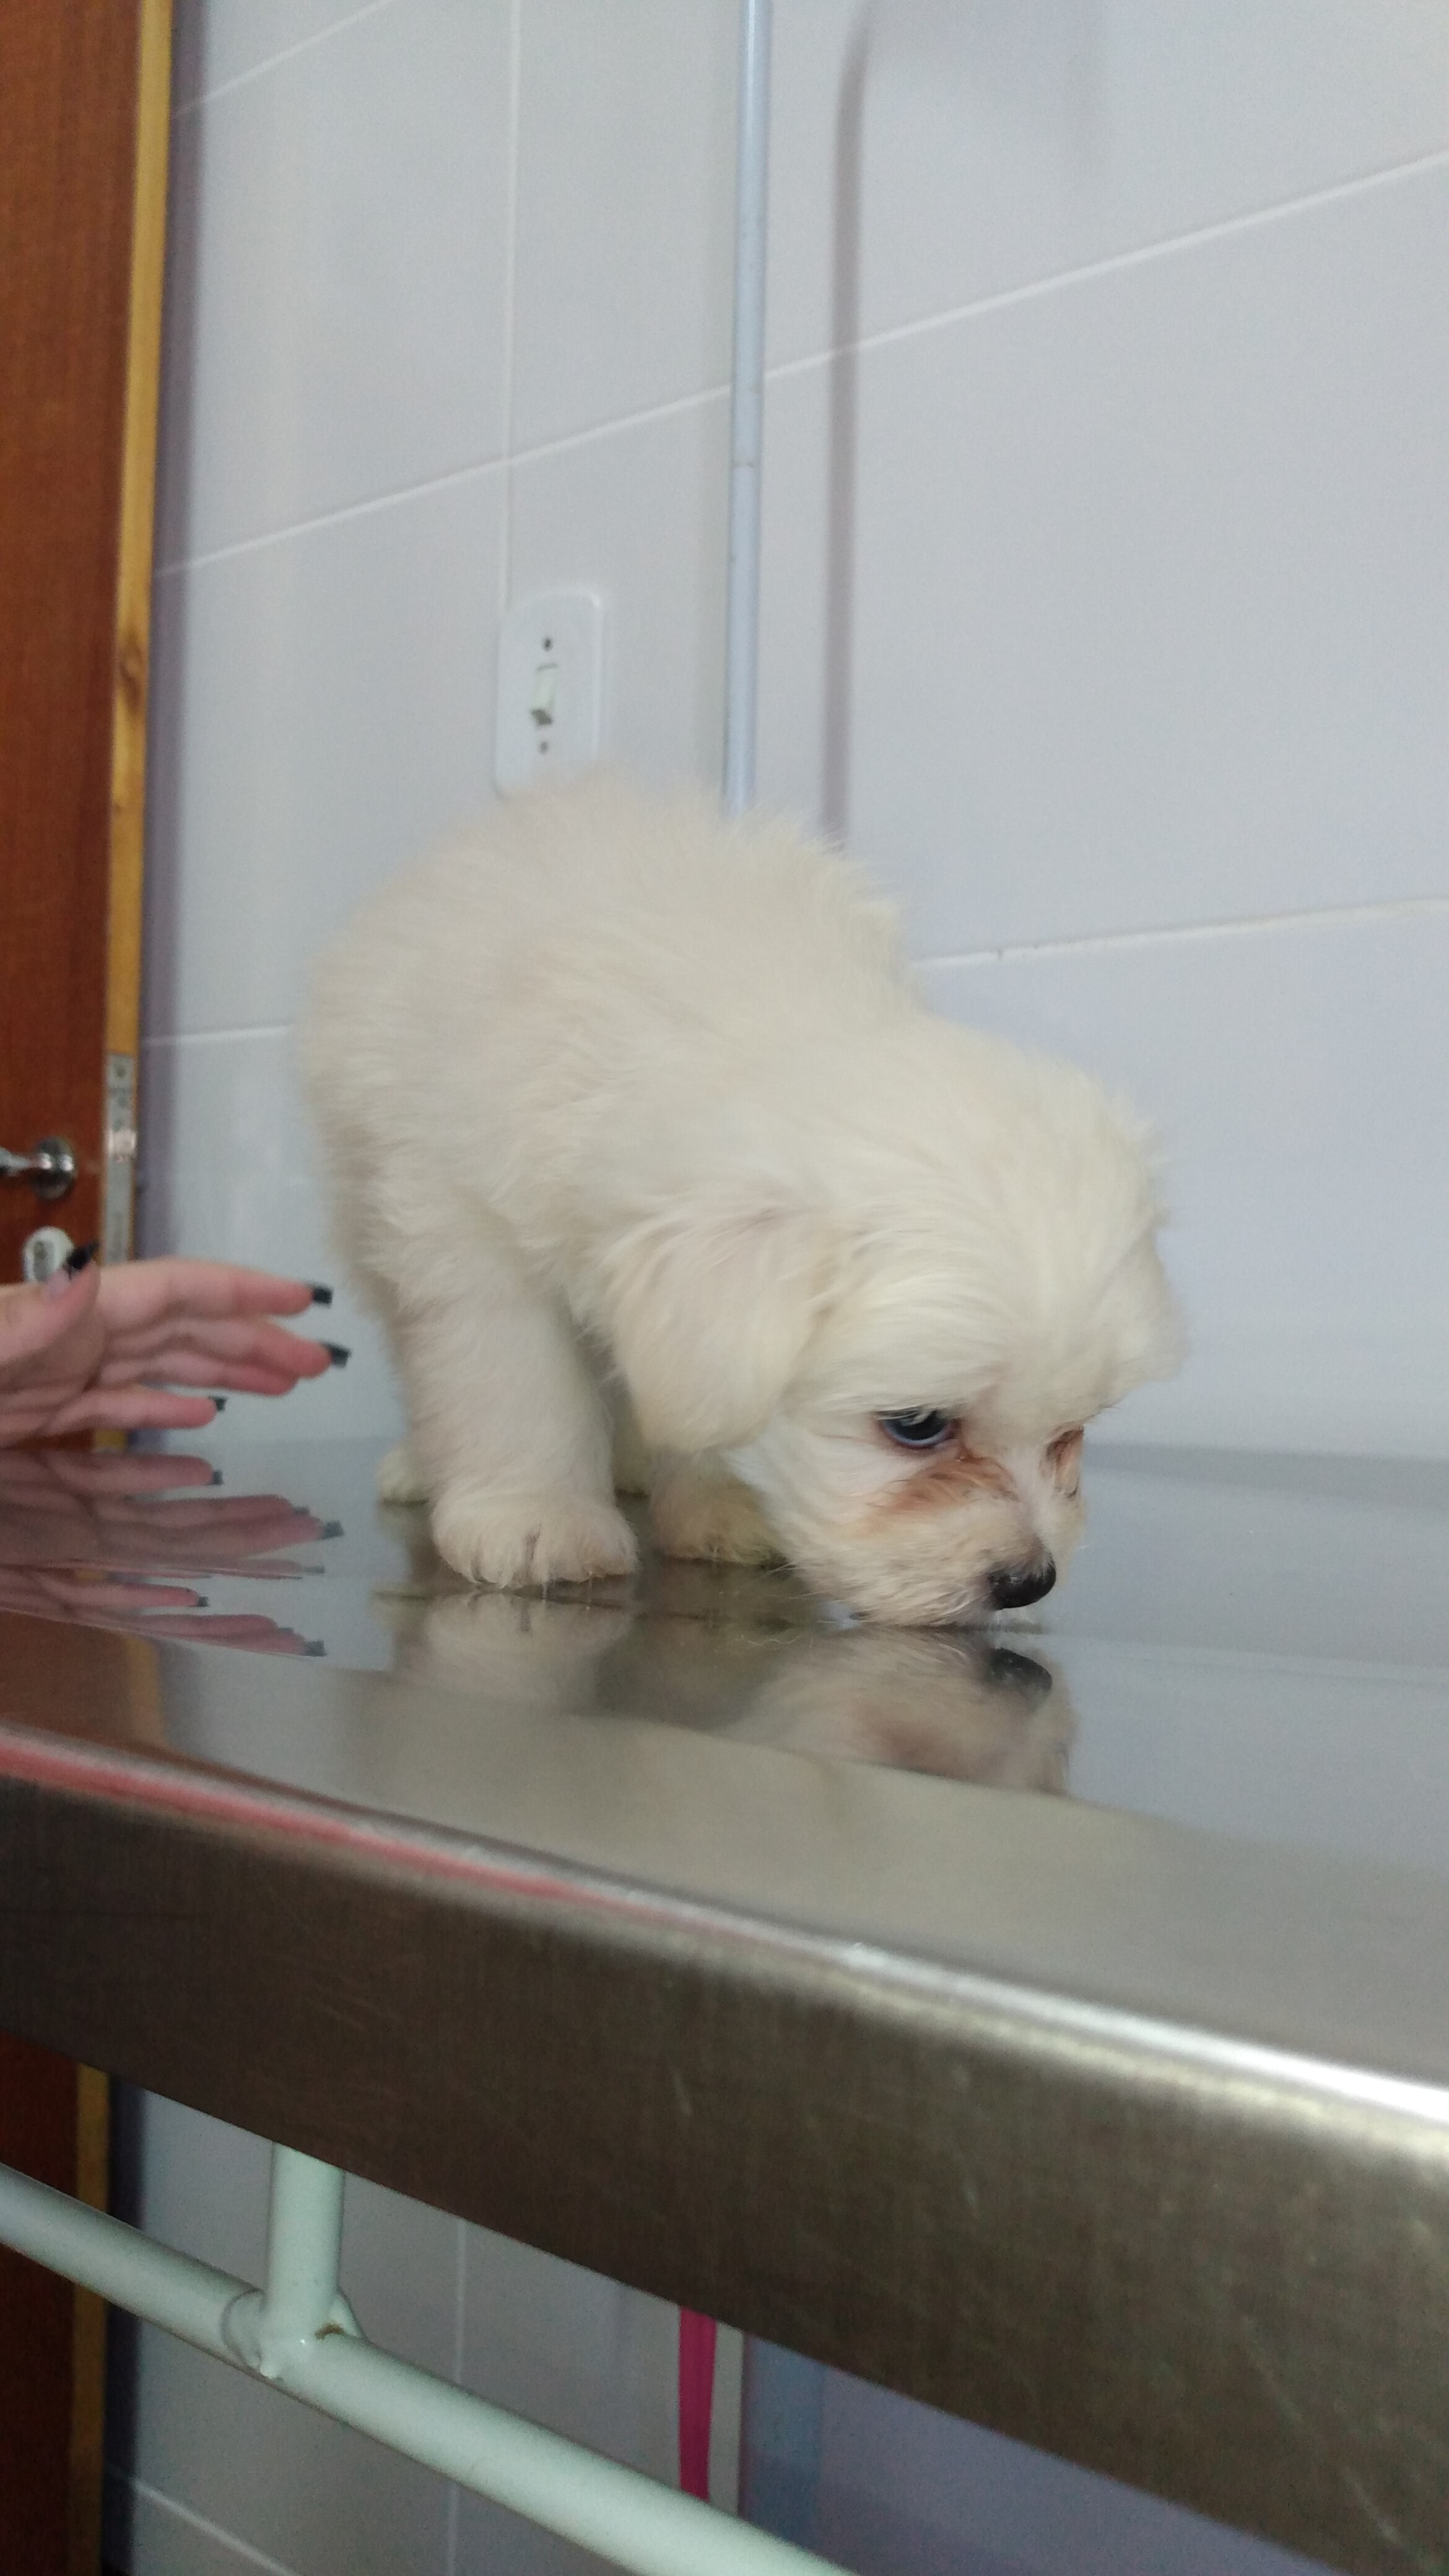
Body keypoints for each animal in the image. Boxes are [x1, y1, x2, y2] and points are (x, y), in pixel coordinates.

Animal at [302, 775, 1180, 1624]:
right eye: (917, 1425)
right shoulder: (469, 1229)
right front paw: (532, 1514)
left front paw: (720, 1505)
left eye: (1072, 1429)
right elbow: (510, 1381)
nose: (1027, 1580)